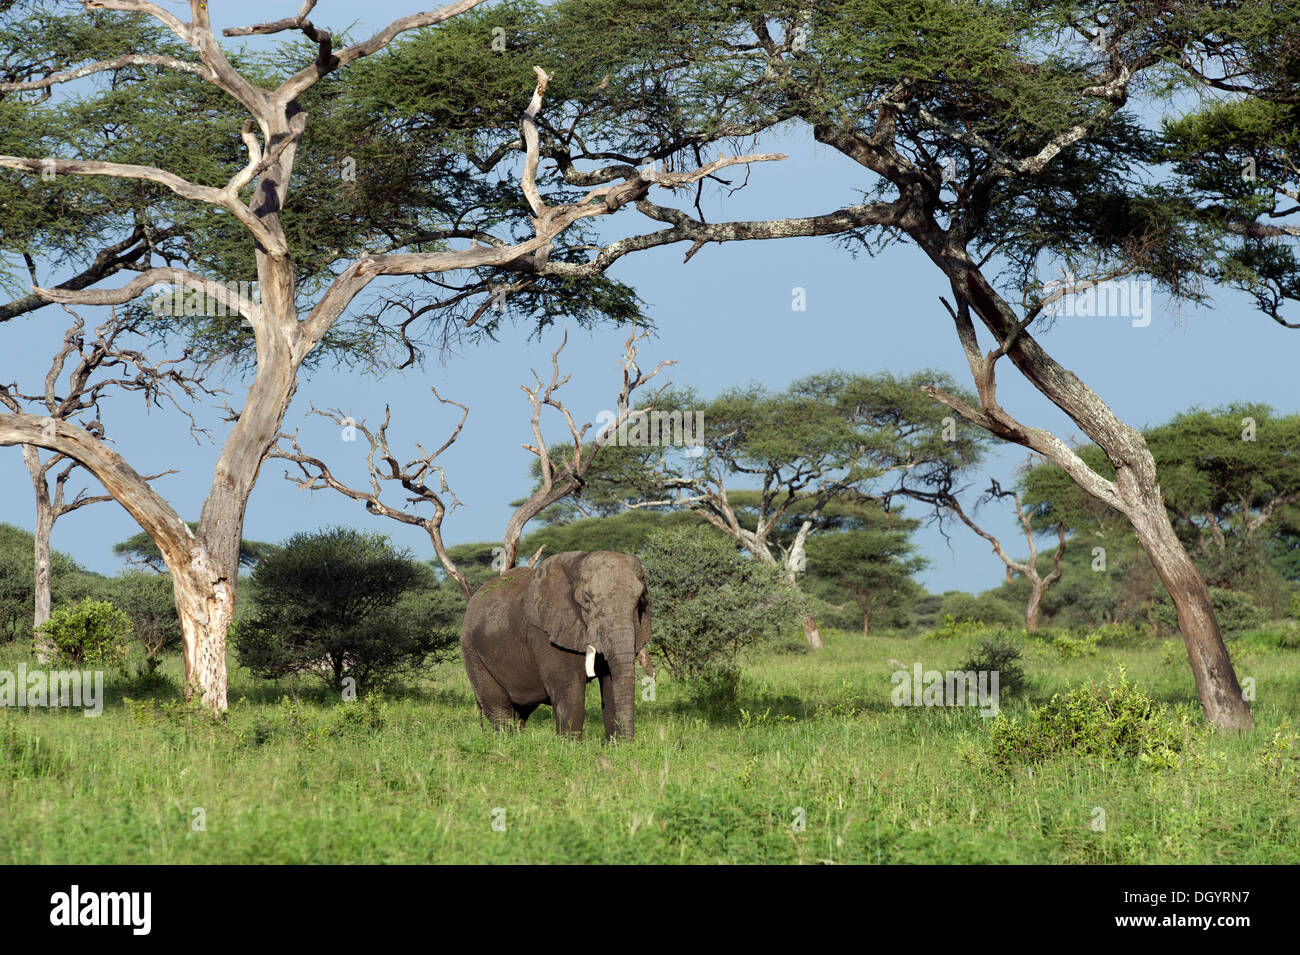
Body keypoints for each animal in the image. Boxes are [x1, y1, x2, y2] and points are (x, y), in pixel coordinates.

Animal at [462, 548, 655, 743]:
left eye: (639, 601)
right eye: (586, 602)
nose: (630, 744)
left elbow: (610, 685)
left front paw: (617, 746)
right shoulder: (545, 633)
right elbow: (569, 689)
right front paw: (570, 747)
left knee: (520, 713)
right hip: (472, 651)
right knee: (498, 708)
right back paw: (506, 742)